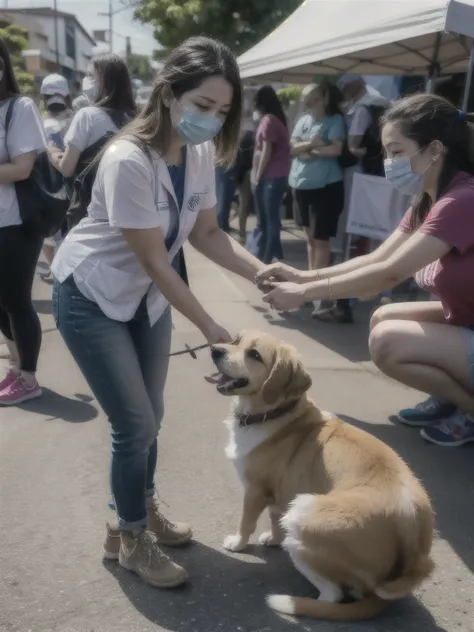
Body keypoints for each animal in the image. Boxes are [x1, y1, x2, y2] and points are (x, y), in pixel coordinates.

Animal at [206, 330, 436, 624]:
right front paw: (273, 539)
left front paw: (237, 544)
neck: (274, 413)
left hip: (303, 516)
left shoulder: (255, 491)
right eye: (235, 340)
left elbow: (246, 522)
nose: (215, 350)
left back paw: (302, 603)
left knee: (334, 594)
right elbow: (274, 519)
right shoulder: (280, 491)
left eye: (255, 354)